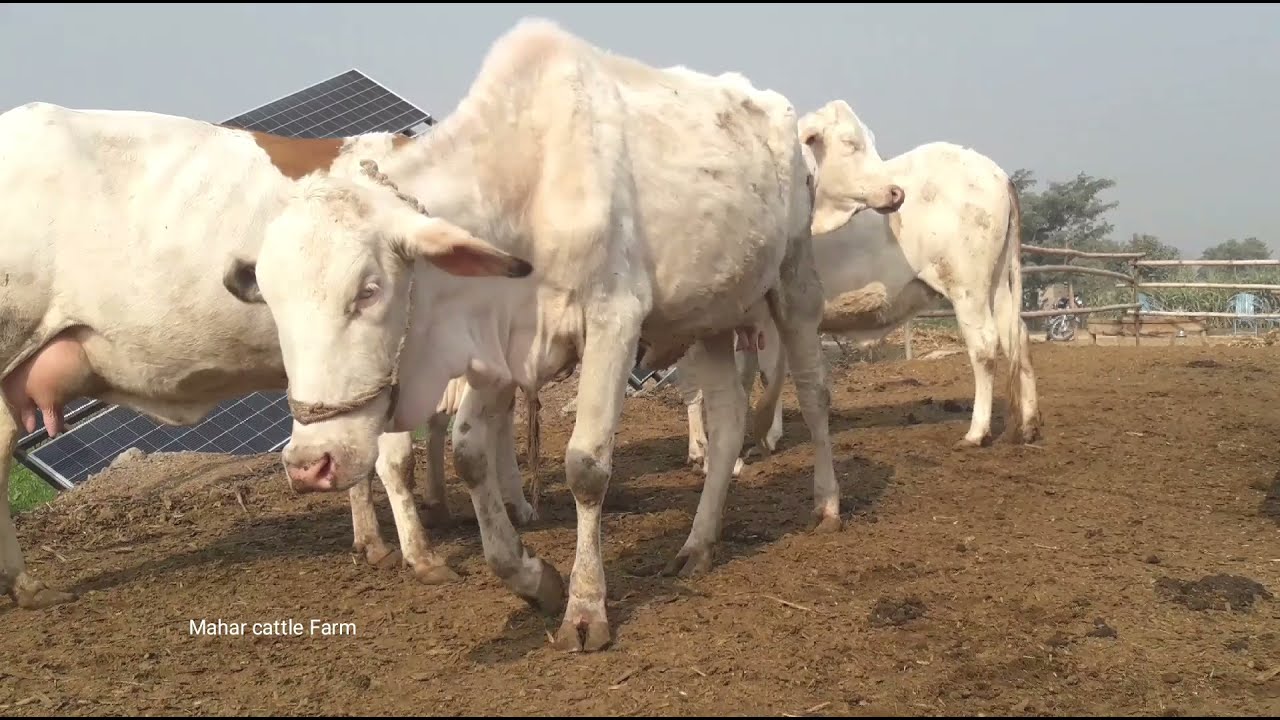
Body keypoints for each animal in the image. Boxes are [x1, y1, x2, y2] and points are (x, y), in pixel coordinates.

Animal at [220, 18, 905, 653]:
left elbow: (586, 466)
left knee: (813, 390)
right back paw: (697, 544)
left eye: (368, 289)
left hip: (793, 285)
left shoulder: (613, 320)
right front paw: (535, 580)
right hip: (705, 316)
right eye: (270, 299)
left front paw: (585, 609)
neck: (527, 180)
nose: (310, 465)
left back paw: (826, 504)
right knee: (729, 416)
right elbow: (470, 453)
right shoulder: (500, 344)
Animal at [681, 99, 1043, 476]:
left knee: (985, 345)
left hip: (966, 285)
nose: (895, 192)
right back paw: (1028, 425)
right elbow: (746, 378)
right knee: (1017, 335)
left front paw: (743, 447)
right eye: (851, 143)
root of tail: (996, 173)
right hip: (996, 282)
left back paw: (977, 432)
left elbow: (755, 378)